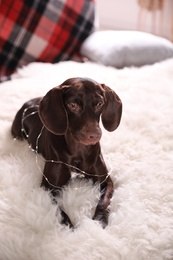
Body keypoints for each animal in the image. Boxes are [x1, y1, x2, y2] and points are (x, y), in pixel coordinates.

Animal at [11, 77, 122, 228]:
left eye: (99, 103)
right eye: (72, 105)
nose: (94, 135)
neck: (78, 150)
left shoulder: (106, 180)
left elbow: (104, 201)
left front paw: (99, 220)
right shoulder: (48, 188)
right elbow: (59, 211)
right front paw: (69, 228)